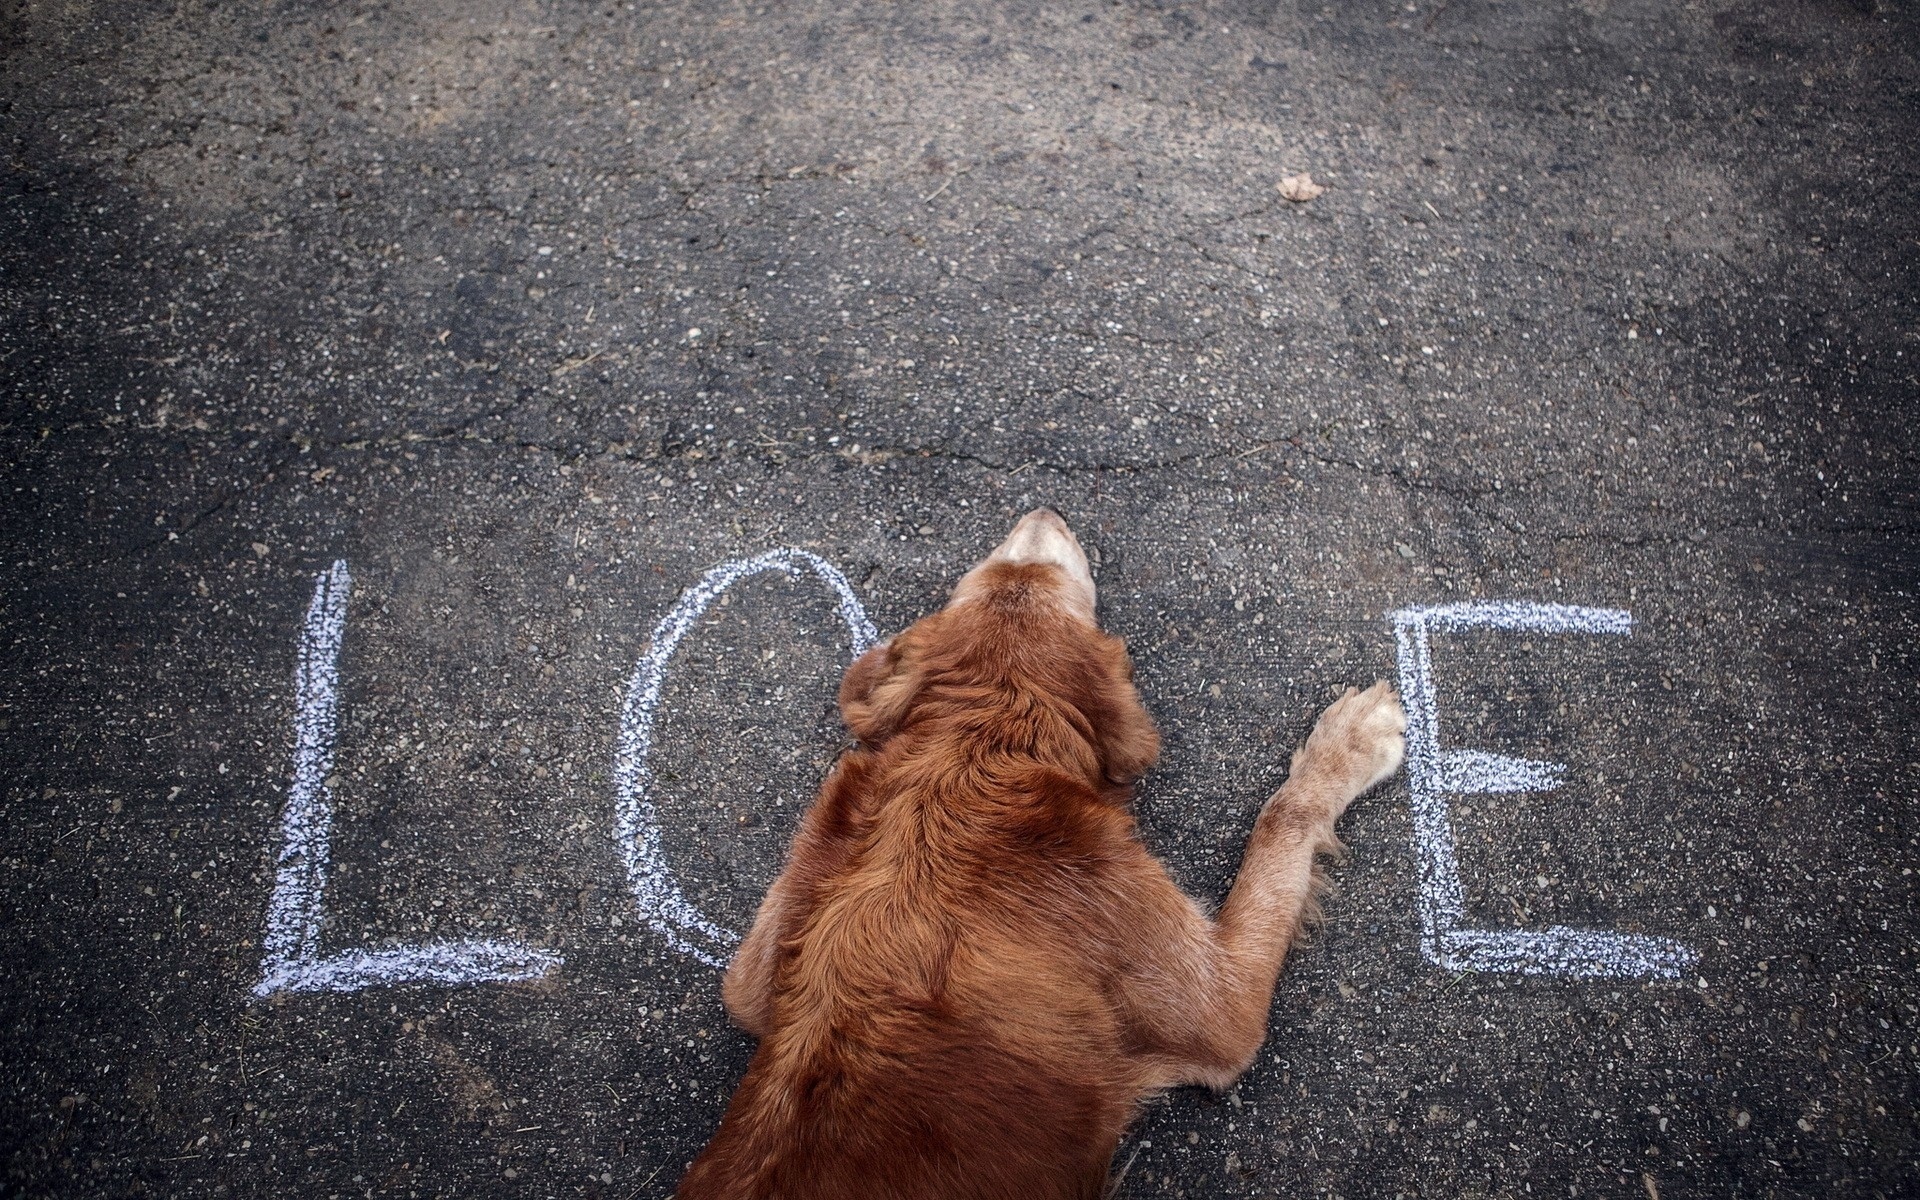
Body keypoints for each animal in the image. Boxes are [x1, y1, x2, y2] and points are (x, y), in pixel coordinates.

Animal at [683, 506, 1405, 1198]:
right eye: (1054, 582)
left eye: (987, 573)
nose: (1043, 511)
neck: (976, 753)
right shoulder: (1223, 1011)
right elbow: (1283, 818)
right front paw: (1350, 742)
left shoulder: (757, 966)